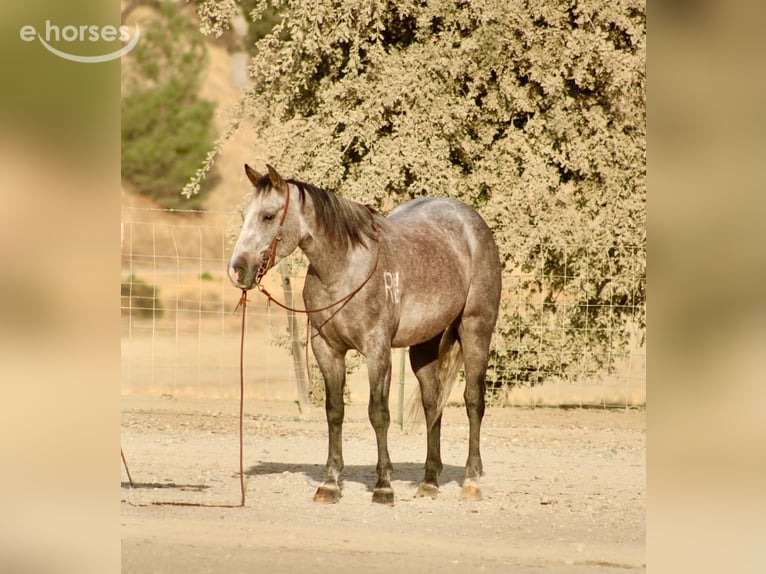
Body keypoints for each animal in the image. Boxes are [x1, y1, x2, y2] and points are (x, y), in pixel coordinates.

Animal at [228, 164, 502, 505]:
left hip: (476, 330)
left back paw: (471, 481)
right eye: (243, 215)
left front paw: (383, 486)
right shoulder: (327, 349)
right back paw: (428, 481)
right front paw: (330, 484)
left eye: (267, 216)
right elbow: (334, 412)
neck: (344, 269)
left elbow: (378, 413)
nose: (237, 270)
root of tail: (472, 222)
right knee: (432, 403)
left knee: (473, 401)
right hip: (424, 345)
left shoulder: (377, 350)